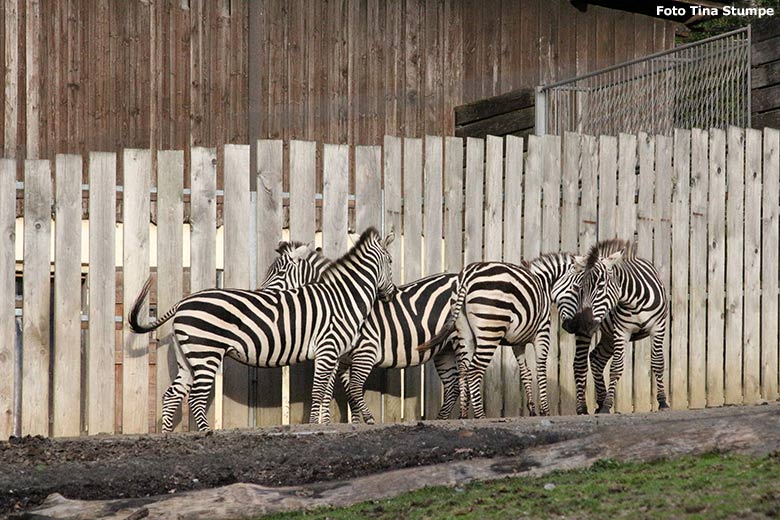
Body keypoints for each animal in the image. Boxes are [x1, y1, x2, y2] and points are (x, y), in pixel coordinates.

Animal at [130, 228, 396, 430]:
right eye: (391, 262)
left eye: (279, 272)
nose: (390, 293)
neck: (341, 297)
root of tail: (183, 302)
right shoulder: (328, 349)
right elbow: (318, 391)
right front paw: (313, 426)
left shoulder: (333, 354)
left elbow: (326, 391)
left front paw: (326, 425)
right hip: (206, 353)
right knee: (195, 397)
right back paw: (205, 433)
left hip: (188, 357)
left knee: (172, 395)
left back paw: (168, 436)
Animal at [420, 254, 580, 420]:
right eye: (577, 288)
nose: (571, 326)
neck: (544, 285)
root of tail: (467, 276)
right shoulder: (543, 332)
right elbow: (541, 370)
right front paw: (545, 411)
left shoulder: (518, 342)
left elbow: (526, 373)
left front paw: (532, 410)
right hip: (490, 329)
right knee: (474, 370)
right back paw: (481, 416)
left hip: (464, 332)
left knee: (464, 370)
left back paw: (463, 415)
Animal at [560, 239, 672, 414]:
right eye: (581, 289)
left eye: (600, 287)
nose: (584, 323)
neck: (634, 300)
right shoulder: (621, 331)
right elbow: (616, 367)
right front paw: (607, 405)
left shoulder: (658, 327)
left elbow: (658, 362)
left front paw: (663, 402)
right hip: (593, 334)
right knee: (579, 364)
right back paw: (582, 408)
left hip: (608, 337)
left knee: (596, 359)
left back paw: (599, 402)